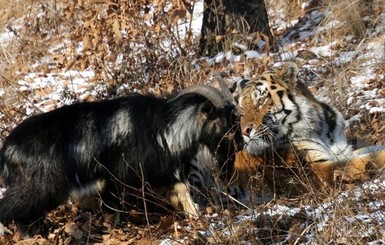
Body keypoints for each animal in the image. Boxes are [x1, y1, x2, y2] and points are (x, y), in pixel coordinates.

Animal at [0, 85, 242, 236]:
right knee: (9, 210)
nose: (240, 144)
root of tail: (6, 151)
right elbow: (115, 210)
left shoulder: (161, 174)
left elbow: (183, 196)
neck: (164, 127)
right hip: (37, 188)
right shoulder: (119, 178)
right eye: (225, 123)